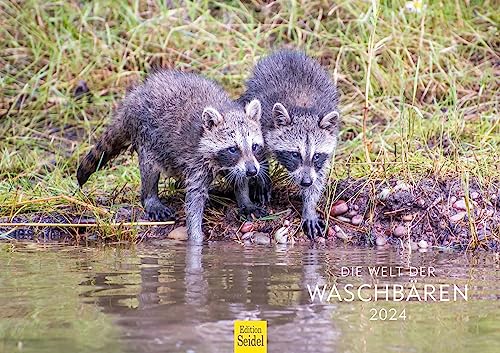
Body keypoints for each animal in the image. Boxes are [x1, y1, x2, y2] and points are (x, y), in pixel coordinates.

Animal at [76, 70, 264, 243]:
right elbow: (194, 199)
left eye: (254, 146)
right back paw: (150, 197)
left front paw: (245, 199)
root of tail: (133, 98)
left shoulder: (238, 164)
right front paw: (195, 237)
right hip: (146, 135)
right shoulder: (197, 160)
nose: (252, 171)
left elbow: (239, 179)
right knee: (149, 169)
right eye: (233, 149)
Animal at [238, 50, 340, 239]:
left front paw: (309, 207)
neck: (304, 109)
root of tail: (288, 52)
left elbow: (319, 176)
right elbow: (255, 152)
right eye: (295, 154)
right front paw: (262, 177)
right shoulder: (264, 121)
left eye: (316, 156)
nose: (306, 182)